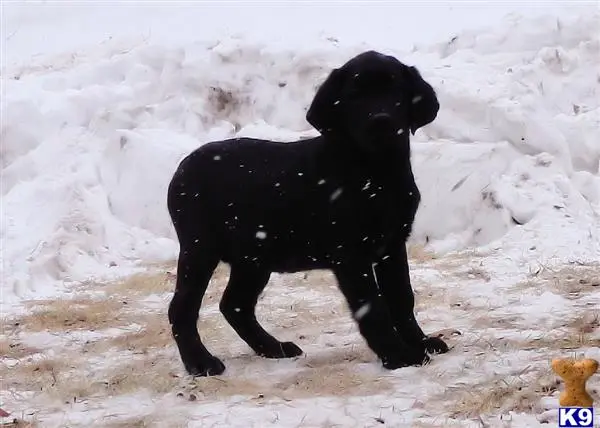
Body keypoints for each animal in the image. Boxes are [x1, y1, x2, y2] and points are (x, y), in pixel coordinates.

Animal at [166, 50, 448, 376]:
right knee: (182, 308)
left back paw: (273, 348)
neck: (375, 172)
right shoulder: (351, 254)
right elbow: (373, 306)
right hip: (200, 249)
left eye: (396, 91)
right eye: (354, 96)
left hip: (254, 256)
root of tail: (181, 168)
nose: (381, 122)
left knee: (235, 305)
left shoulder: (392, 244)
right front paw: (398, 355)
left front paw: (421, 342)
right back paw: (200, 362)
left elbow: (402, 297)